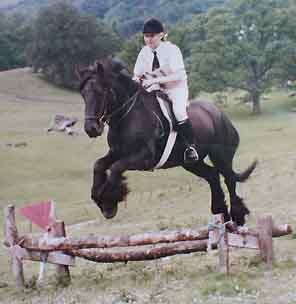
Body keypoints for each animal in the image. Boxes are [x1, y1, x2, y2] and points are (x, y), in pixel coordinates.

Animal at [77, 58, 256, 227]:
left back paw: (237, 216)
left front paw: (109, 201)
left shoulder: (144, 158)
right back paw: (221, 213)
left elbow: (115, 168)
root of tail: (220, 114)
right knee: (212, 176)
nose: (91, 129)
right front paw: (102, 199)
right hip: (191, 163)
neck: (128, 115)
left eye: (100, 92)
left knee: (229, 179)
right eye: (84, 94)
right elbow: (99, 165)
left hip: (221, 156)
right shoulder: (117, 152)